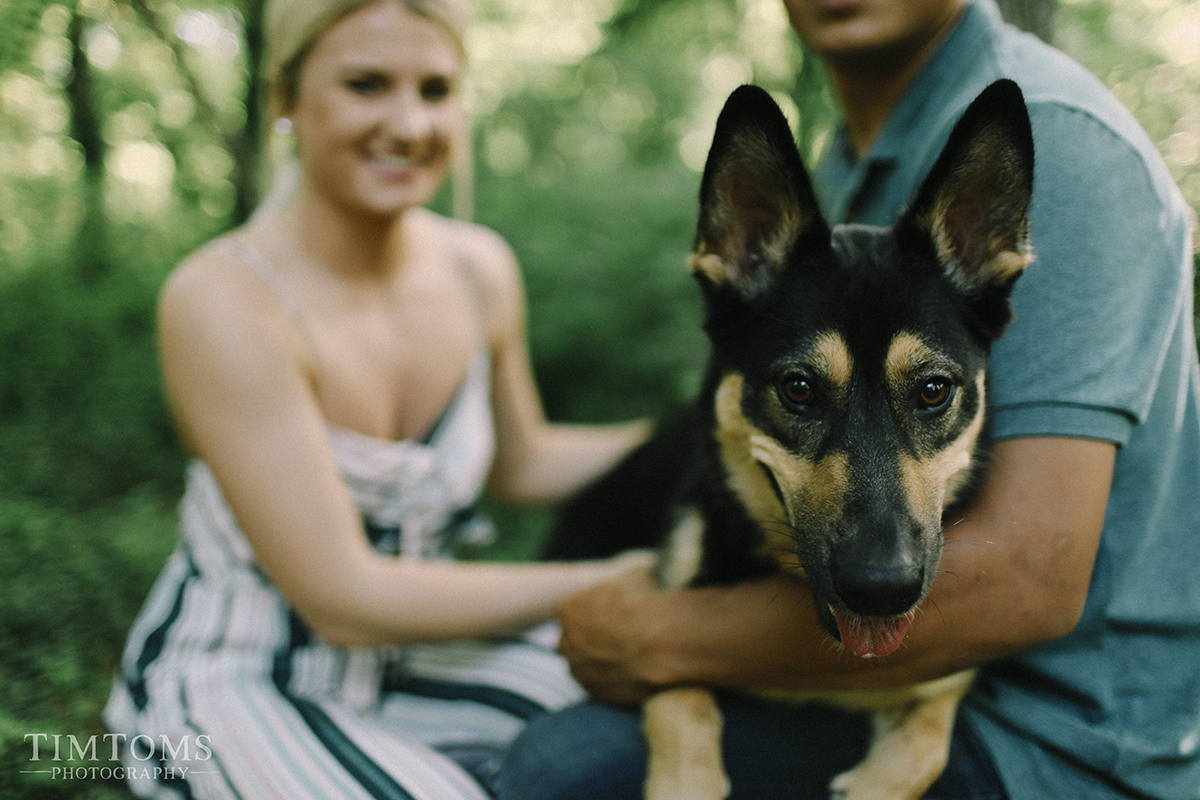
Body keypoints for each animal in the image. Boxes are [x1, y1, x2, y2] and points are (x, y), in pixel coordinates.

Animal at [549, 79, 1036, 800]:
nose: (882, 587)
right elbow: (680, 699)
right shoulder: (661, 628)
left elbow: (927, 742)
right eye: (799, 389)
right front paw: (689, 778)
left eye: (933, 391)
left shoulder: (943, 681)